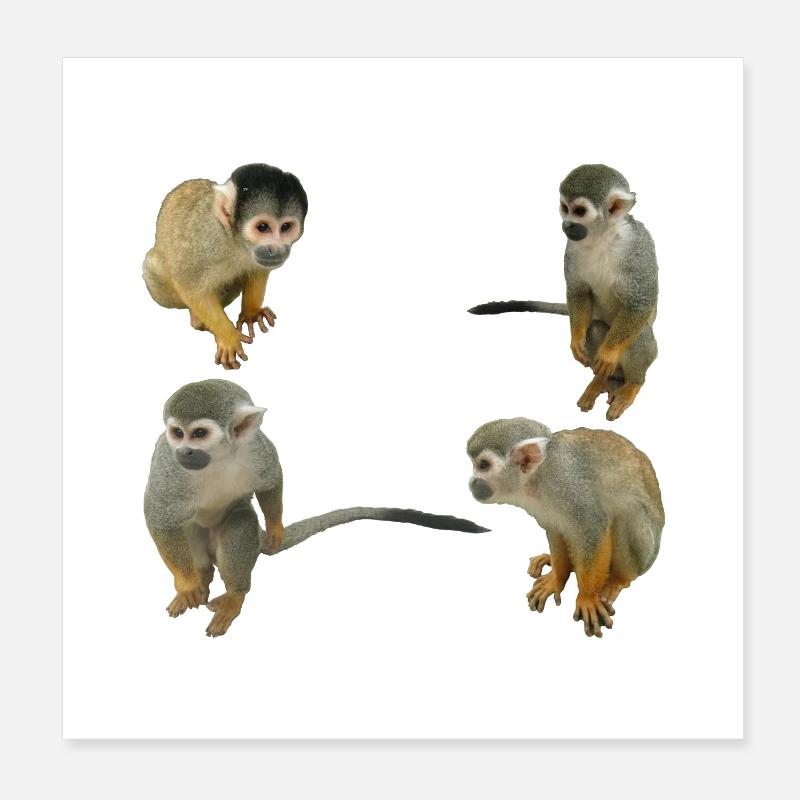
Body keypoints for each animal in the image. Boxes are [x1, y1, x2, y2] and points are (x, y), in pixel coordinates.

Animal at [142, 163, 308, 370]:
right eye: (263, 227)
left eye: (286, 227)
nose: (276, 249)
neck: (235, 240)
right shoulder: (204, 241)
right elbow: (188, 284)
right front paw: (228, 336)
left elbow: (258, 269)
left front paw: (251, 313)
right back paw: (196, 317)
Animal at [144, 379, 490, 637]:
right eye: (177, 433)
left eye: (199, 433)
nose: (185, 452)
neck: (219, 458)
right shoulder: (168, 462)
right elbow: (158, 515)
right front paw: (186, 583)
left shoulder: (257, 447)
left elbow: (272, 479)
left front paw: (276, 528)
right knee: (189, 529)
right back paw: (199, 579)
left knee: (240, 521)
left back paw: (235, 593)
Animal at [466, 417, 664, 638]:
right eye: (474, 465)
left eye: (483, 465)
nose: (471, 482)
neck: (538, 477)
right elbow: (556, 529)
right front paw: (557, 579)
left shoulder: (566, 484)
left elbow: (591, 526)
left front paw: (587, 597)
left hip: (646, 551)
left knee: (630, 512)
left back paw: (617, 580)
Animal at [469, 165, 658, 421]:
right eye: (564, 208)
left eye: (579, 211)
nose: (567, 225)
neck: (602, 236)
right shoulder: (571, 248)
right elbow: (578, 291)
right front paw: (576, 339)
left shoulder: (638, 246)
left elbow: (640, 302)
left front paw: (608, 353)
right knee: (595, 329)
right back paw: (601, 381)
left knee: (639, 334)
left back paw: (632, 384)